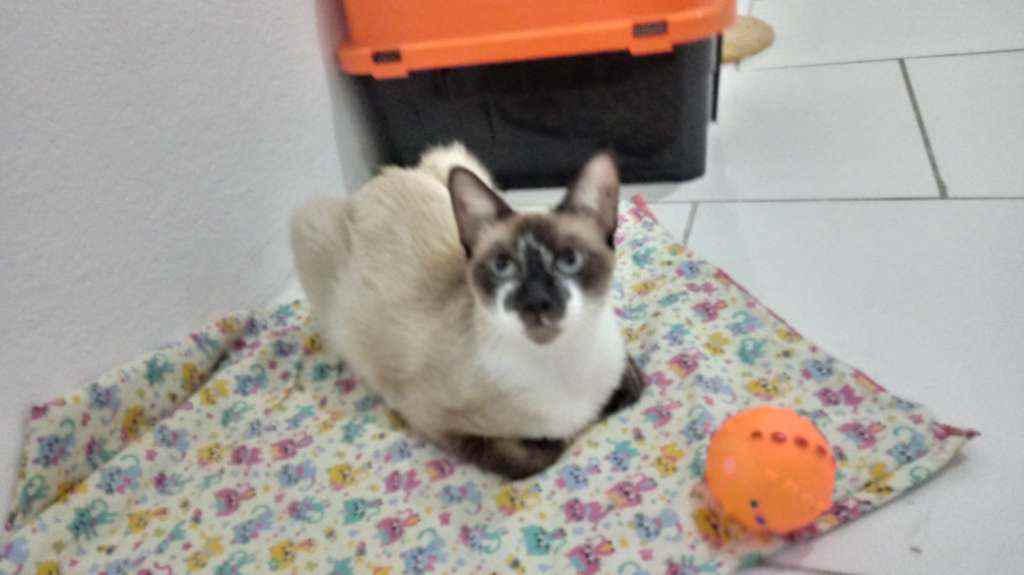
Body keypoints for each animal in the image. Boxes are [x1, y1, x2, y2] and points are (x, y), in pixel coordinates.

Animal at [290, 143, 644, 479]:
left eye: (569, 260)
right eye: (502, 266)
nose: (537, 302)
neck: (562, 365)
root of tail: (375, 180)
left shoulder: (622, 371)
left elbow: (631, 387)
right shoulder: (431, 417)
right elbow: (541, 452)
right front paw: (568, 434)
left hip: (453, 157)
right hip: (310, 225)